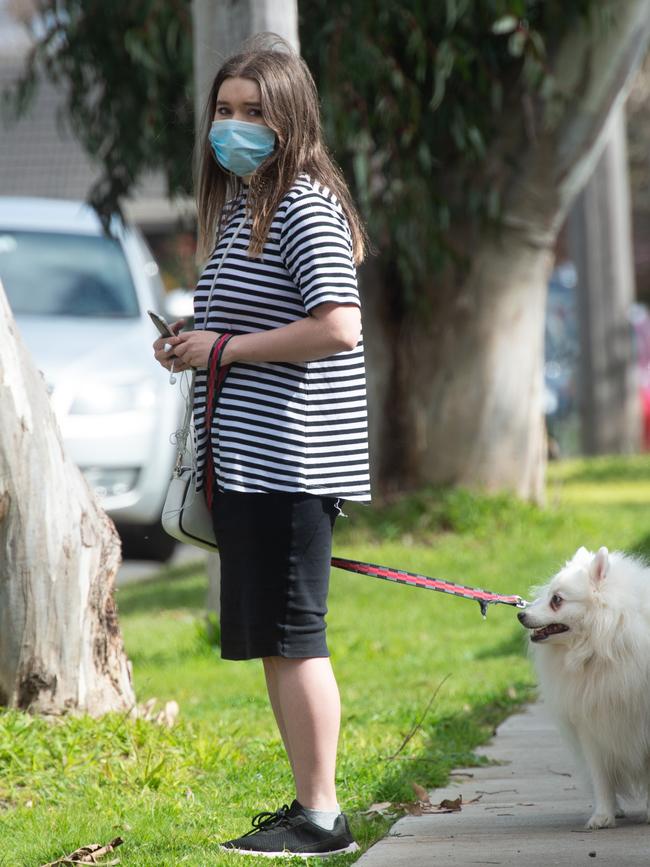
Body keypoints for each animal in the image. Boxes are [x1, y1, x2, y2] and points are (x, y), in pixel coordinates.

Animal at [516, 544, 648, 832]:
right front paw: (603, 815)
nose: (520, 613)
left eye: (557, 600)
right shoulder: (591, 728)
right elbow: (601, 778)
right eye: (548, 595)